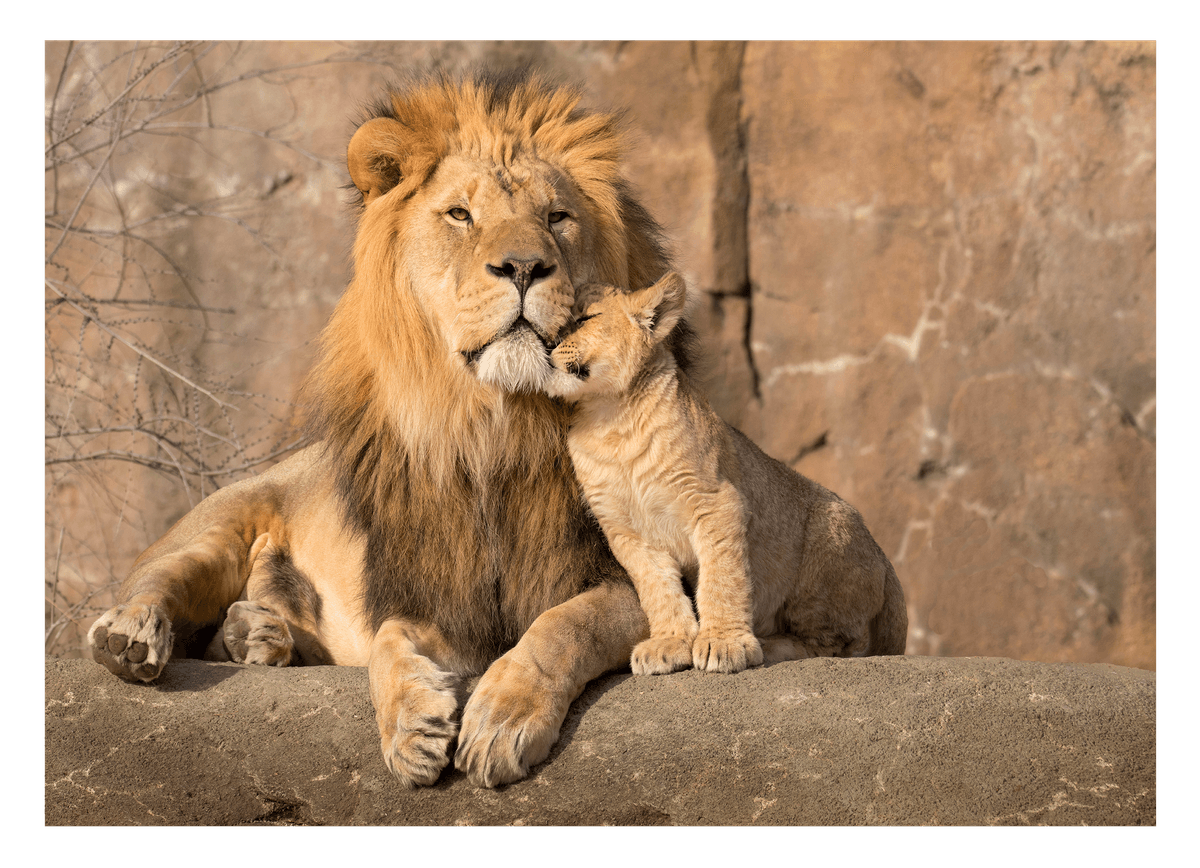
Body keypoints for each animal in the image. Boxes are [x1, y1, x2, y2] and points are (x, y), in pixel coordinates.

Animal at [86, 70, 682, 789]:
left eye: (556, 218)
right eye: (461, 215)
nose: (523, 267)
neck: (494, 426)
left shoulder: (632, 578)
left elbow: (563, 626)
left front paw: (501, 720)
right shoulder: (439, 597)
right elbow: (392, 639)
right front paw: (411, 727)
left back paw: (259, 635)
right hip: (216, 529)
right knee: (156, 581)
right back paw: (135, 635)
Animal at [544, 273, 908, 673]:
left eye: (585, 318)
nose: (545, 344)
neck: (610, 419)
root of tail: (886, 560)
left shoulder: (716, 501)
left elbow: (722, 578)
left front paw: (725, 643)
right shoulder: (626, 531)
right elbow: (657, 588)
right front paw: (669, 642)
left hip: (826, 547)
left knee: (840, 645)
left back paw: (771, 645)